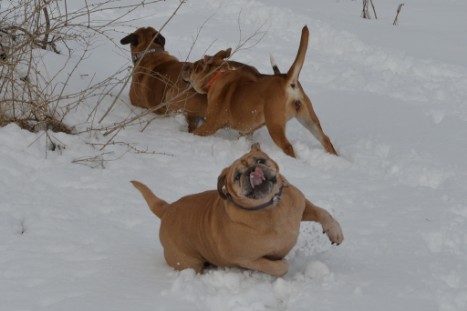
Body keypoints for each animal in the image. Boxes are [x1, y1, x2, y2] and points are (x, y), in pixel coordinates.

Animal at [132, 144, 344, 278]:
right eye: (237, 176)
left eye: (261, 160)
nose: (253, 169)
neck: (271, 207)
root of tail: (167, 209)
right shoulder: (248, 259)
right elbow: (278, 267)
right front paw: (282, 264)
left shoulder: (301, 204)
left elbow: (323, 212)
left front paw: (335, 232)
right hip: (187, 262)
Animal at [181, 26, 338, 158]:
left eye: (195, 67)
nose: (185, 66)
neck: (218, 75)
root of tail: (287, 80)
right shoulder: (246, 130)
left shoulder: (211, 124)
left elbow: (195, 132)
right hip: (308, 119)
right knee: (325, 139)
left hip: (275, 124)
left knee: (288, 147)